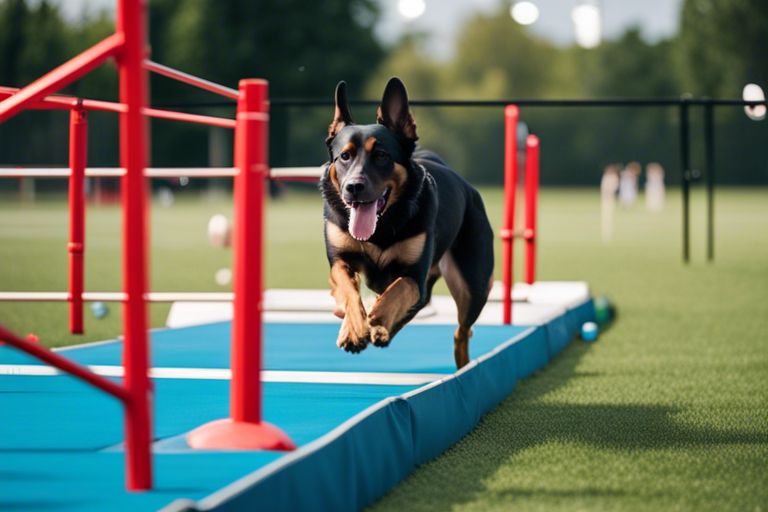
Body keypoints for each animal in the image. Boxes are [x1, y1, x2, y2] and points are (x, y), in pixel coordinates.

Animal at [320, 77, 496, 368]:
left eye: (381, 155)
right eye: (344, 156)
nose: (353, 188)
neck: (381, 226)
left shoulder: (414, 274)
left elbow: (397, 291)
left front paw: (376, 319)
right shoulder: (340, 261)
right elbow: (349, 291)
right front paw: (354, 329)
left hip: (475, 286)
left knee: (461, 331)